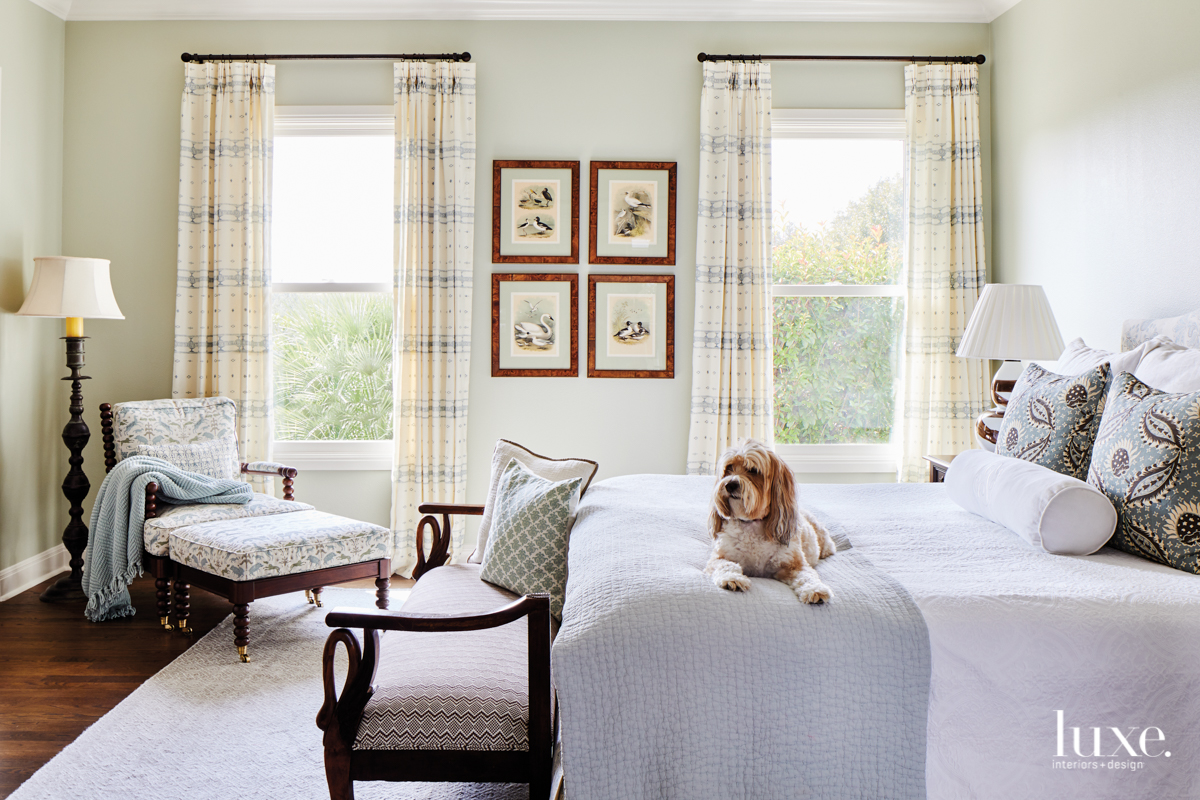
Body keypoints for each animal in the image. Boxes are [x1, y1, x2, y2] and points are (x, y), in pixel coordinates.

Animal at [700, 441, 835, 604]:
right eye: (729, 468)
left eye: (753, 470)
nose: (730, 485)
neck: (751, 523)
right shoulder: (719, 558)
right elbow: (726, 565)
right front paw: (732, 579)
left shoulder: (793, 564)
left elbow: (807, 576)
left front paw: (815, 589)